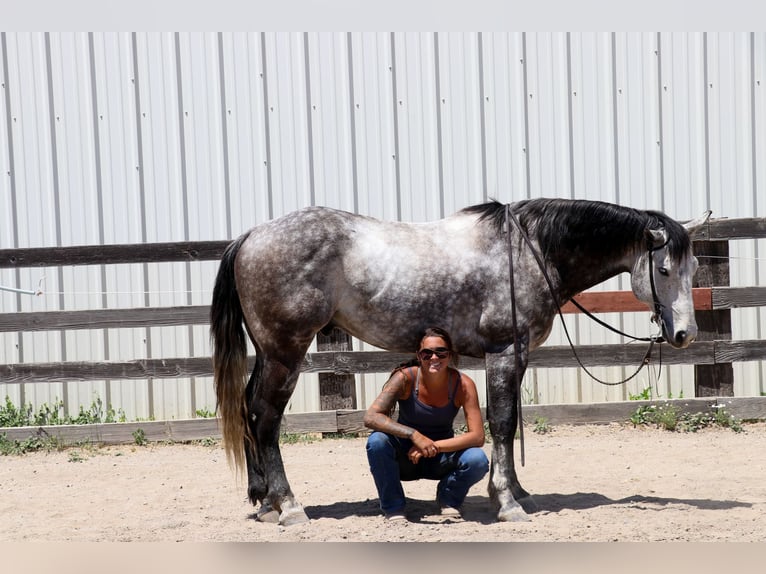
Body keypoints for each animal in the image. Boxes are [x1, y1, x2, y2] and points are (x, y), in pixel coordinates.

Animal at [210, 197, 710, 525]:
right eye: (664, 269)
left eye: (694, 269)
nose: (685, 334)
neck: (528, 251)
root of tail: (252, 235)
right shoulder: (504, 352)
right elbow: (502, 422)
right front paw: (507, 502)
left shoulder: (517, 355)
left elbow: (508, 422)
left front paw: (518, 492)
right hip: (285, 353)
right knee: (266, 418)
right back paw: (289, 505)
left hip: (269, 353)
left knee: (249, 411)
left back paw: (264, 500)